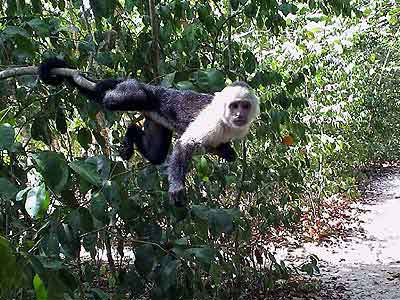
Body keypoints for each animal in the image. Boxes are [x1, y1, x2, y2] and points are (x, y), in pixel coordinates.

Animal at [39, 58, 260, 206]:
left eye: (245, 106)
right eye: (234, 105)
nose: (239, 114)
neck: (227, 123)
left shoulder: (240, 128)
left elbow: (223, 150)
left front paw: (225, 151)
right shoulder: (213, 122)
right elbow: (185, 144)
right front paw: (176, 186)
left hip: (156, 121)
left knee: (156, 154)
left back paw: (131, 134)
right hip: (136, 93)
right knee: (122, 97)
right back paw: (111, 91)